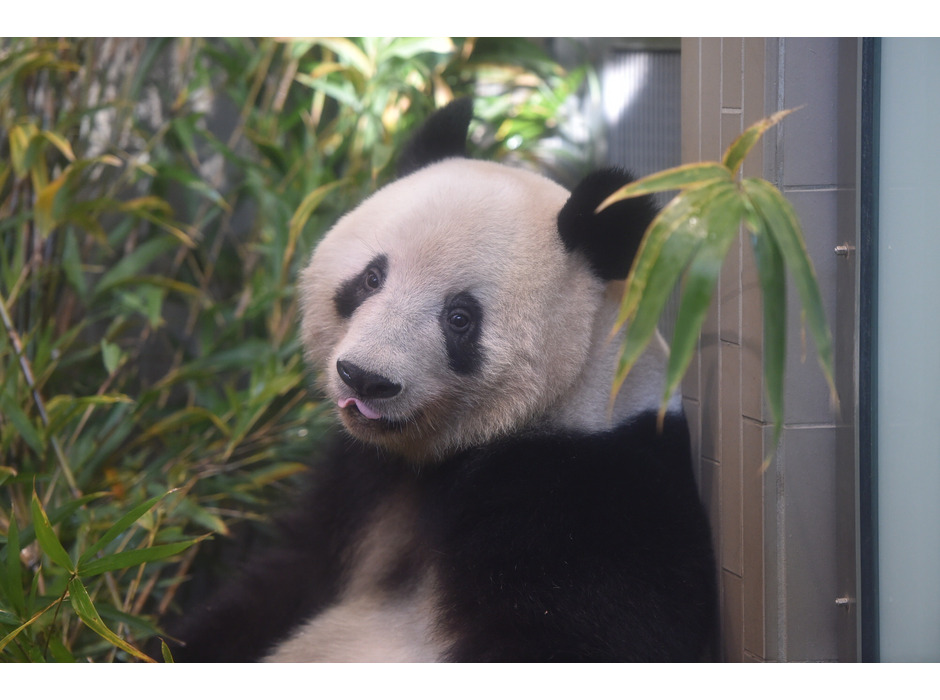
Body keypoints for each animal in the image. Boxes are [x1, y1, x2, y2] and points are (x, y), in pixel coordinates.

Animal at [169, 98, 716, 660]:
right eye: (371, 278)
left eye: (459, 318)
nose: (365, 379)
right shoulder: (360, 481)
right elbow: (285, 577)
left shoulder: (591, 496)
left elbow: (572, 636)